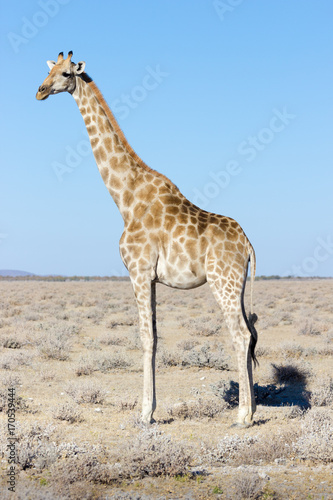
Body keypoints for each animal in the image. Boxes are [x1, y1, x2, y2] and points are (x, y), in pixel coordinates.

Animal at [37, 50, 260, 428]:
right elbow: (154, 336)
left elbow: (145, 337)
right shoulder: (151, 278)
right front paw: (150, 408)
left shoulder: (138, 271)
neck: (125, 198)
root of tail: (248, 246)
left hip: (223, 282)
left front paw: (145, 413)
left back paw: (243, 416)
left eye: (66, 74)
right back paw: (253, 409)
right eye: (49, 70)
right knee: (249, 332)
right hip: (238, 284)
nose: (39, 91)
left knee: (241, 335)